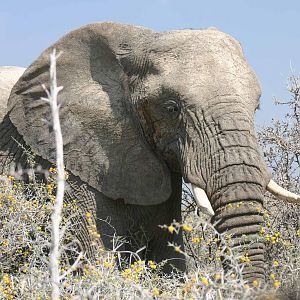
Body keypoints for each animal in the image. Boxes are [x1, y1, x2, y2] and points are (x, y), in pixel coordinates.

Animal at [1, 21, 298, 282]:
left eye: (257, 106)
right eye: (171, 108)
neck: (137, 43)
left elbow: (170, 260)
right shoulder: (70, 161)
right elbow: (93, 261)